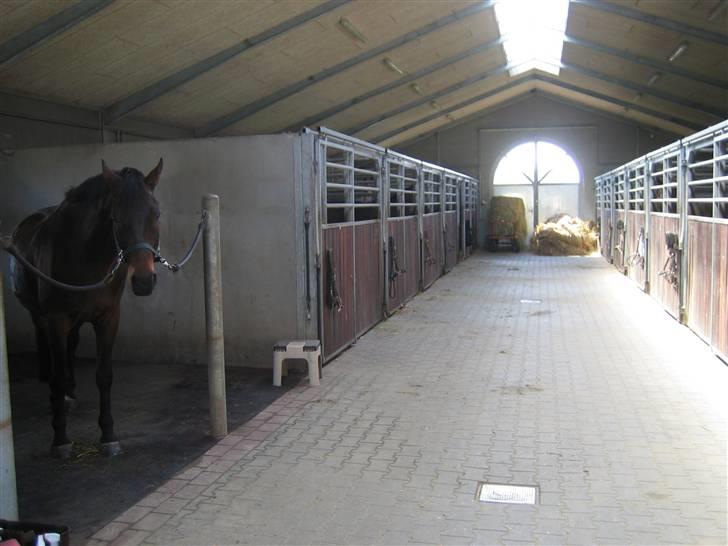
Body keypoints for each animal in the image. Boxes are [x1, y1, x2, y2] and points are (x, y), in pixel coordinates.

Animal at [9, 157, 164, 454]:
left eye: (157, 215)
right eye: (116, 218)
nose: (143, 281)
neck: (84, 255)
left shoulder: (108, 317)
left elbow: (104, 375)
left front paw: (109, 436)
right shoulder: (56, 318)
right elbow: (57, 375)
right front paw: (60, 439)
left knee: (70, 349)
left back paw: (69, 394)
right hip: (40, 316)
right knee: (52, 355)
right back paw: (59, 400)